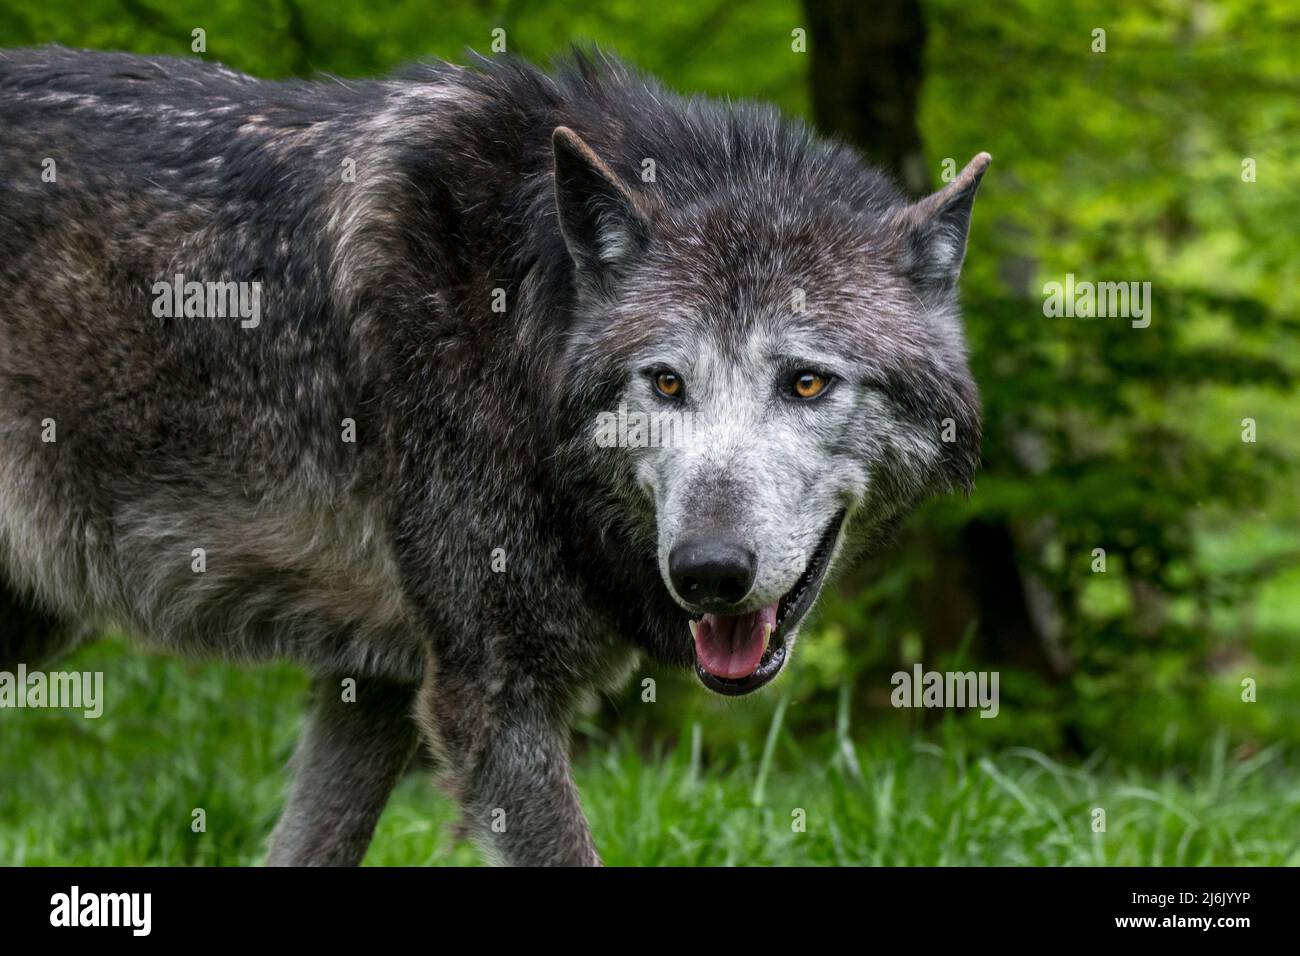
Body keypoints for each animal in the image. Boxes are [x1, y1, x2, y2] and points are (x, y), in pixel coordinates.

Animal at [0, 46, 987, 866]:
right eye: (666, 382)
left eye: (807, 383)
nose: (707, 571)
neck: (519, 321)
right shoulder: (490, 696)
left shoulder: (378, 684)